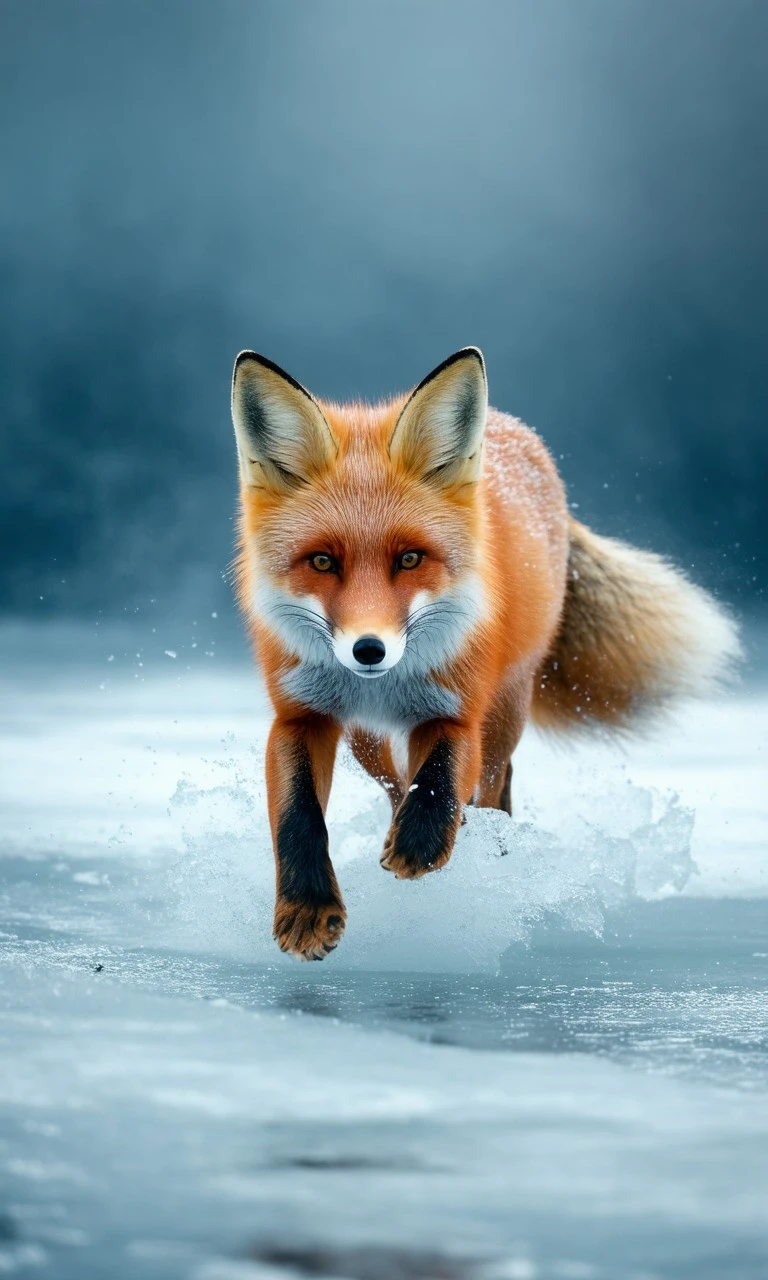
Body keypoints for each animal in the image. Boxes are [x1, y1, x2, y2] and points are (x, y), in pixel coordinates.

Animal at [230, 345, 742, 957]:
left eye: (410, 559)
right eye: (323, 562)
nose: (369, 650)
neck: (394, 683)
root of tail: (515, 428)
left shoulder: (458, 708)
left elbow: (441, 777)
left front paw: (424, 847)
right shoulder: (300, 715)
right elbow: (298, 815)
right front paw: (308, 908)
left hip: (506, 708)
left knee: (492, 787)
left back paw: (482, 856)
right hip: (366, 741)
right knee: (396, 786)